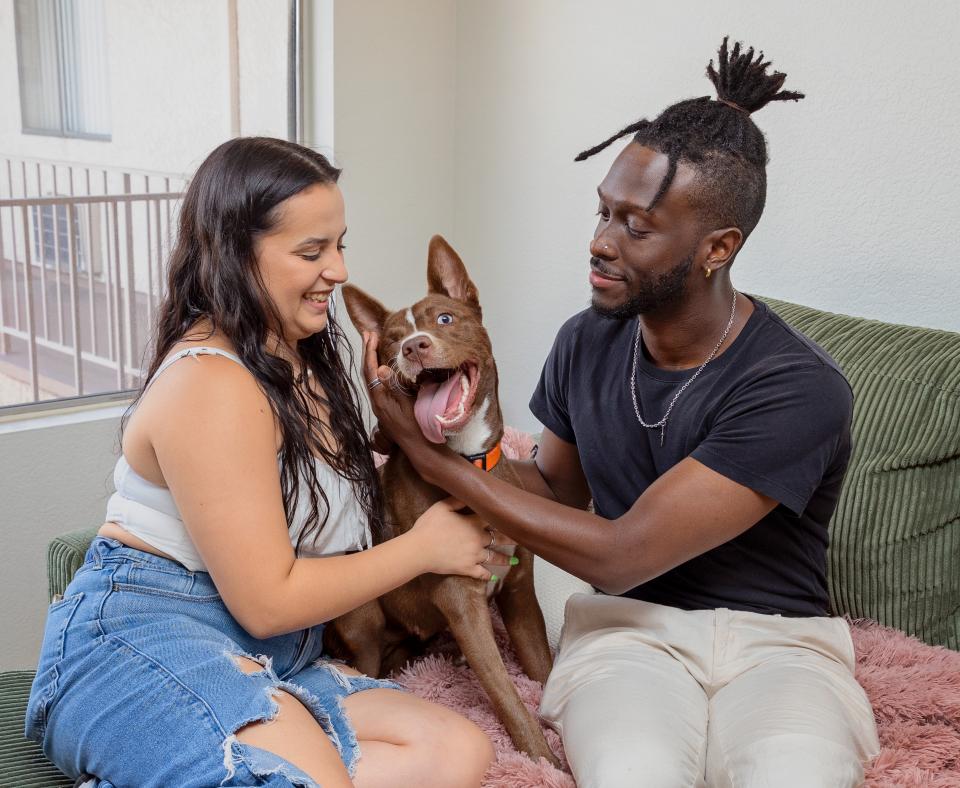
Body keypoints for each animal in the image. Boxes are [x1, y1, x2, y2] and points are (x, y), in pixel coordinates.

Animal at [326, 234, 560, 764]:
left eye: (445, 319)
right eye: (392, 340)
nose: (413, 347)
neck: (468, 461)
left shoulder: (519, 595)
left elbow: (542, 673)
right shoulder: (462, 600)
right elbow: (508, 695)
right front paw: (543, 760)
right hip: (362, 613)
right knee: (367, 665)